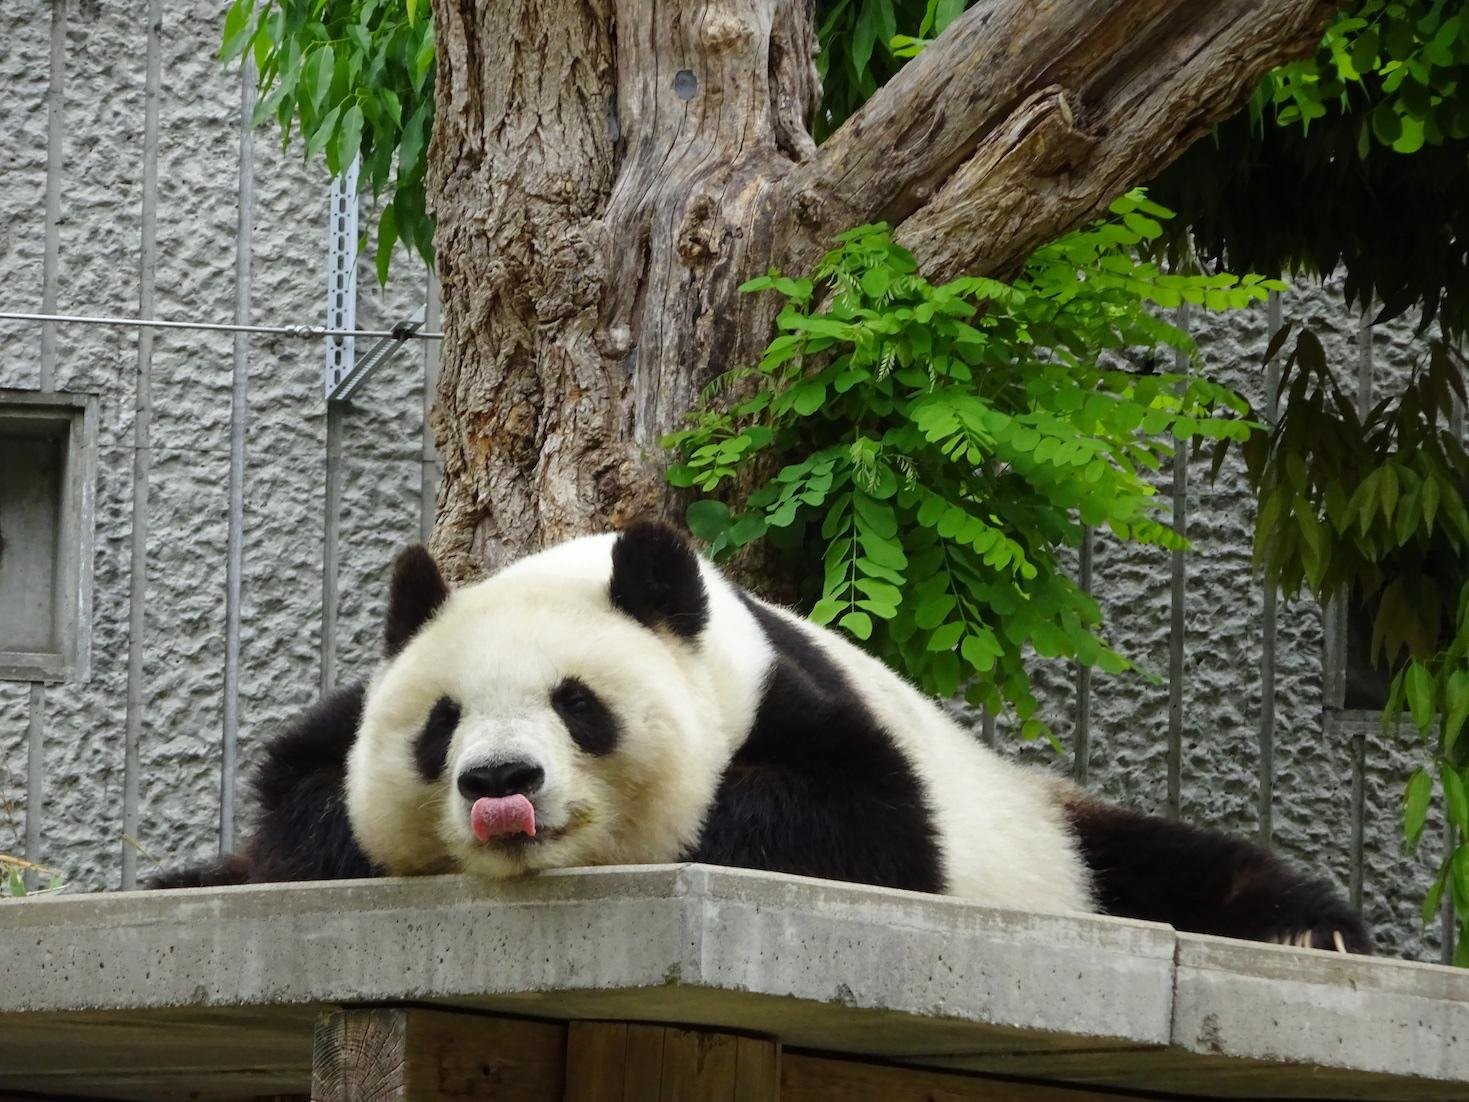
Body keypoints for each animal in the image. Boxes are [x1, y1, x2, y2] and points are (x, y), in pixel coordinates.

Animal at [154, 523, 1369, 958]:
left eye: (578, 705)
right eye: (440, 724)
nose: (500, 782)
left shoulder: (796, 699)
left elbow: (857, 824)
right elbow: (299, 788)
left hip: (1046, 837)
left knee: (1161, 861)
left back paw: (1309, 930)